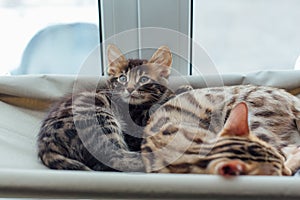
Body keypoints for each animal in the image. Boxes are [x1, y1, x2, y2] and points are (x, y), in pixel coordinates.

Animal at [37, 44, 191, 171]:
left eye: (144, 79)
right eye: (122, 78)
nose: (130, 89)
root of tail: (46, 144)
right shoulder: (136, 122)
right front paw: (182, 90)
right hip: (99, 116)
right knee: (113, 159)